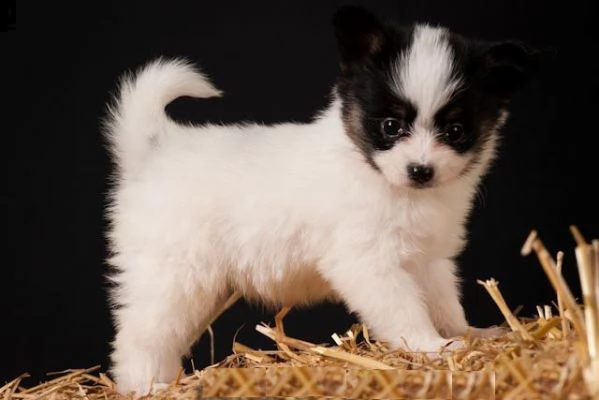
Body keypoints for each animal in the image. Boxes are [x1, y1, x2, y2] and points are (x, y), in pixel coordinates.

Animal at [103, 4, 540, 396]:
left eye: (455, 131)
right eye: (390, 126)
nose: (421, 170)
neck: (377, 175)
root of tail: (155, 150)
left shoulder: (429, 260)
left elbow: (444, 303)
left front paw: (467, 335)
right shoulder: (367, 263)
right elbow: (404, 310)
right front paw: (430, 346)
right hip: (173, 276)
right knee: (140, 335)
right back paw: (148, 386)